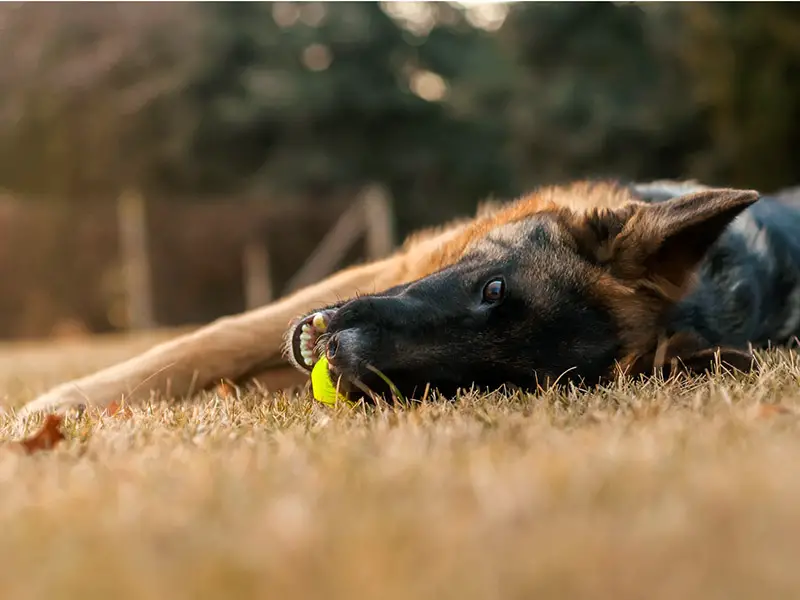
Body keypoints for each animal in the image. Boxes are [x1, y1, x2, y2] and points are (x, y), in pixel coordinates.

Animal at [15, 178, 800, 418]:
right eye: (492, 289)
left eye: (493, 382)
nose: (343, 355)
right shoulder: (384, 267)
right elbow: (209, 340)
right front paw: (65, 403)